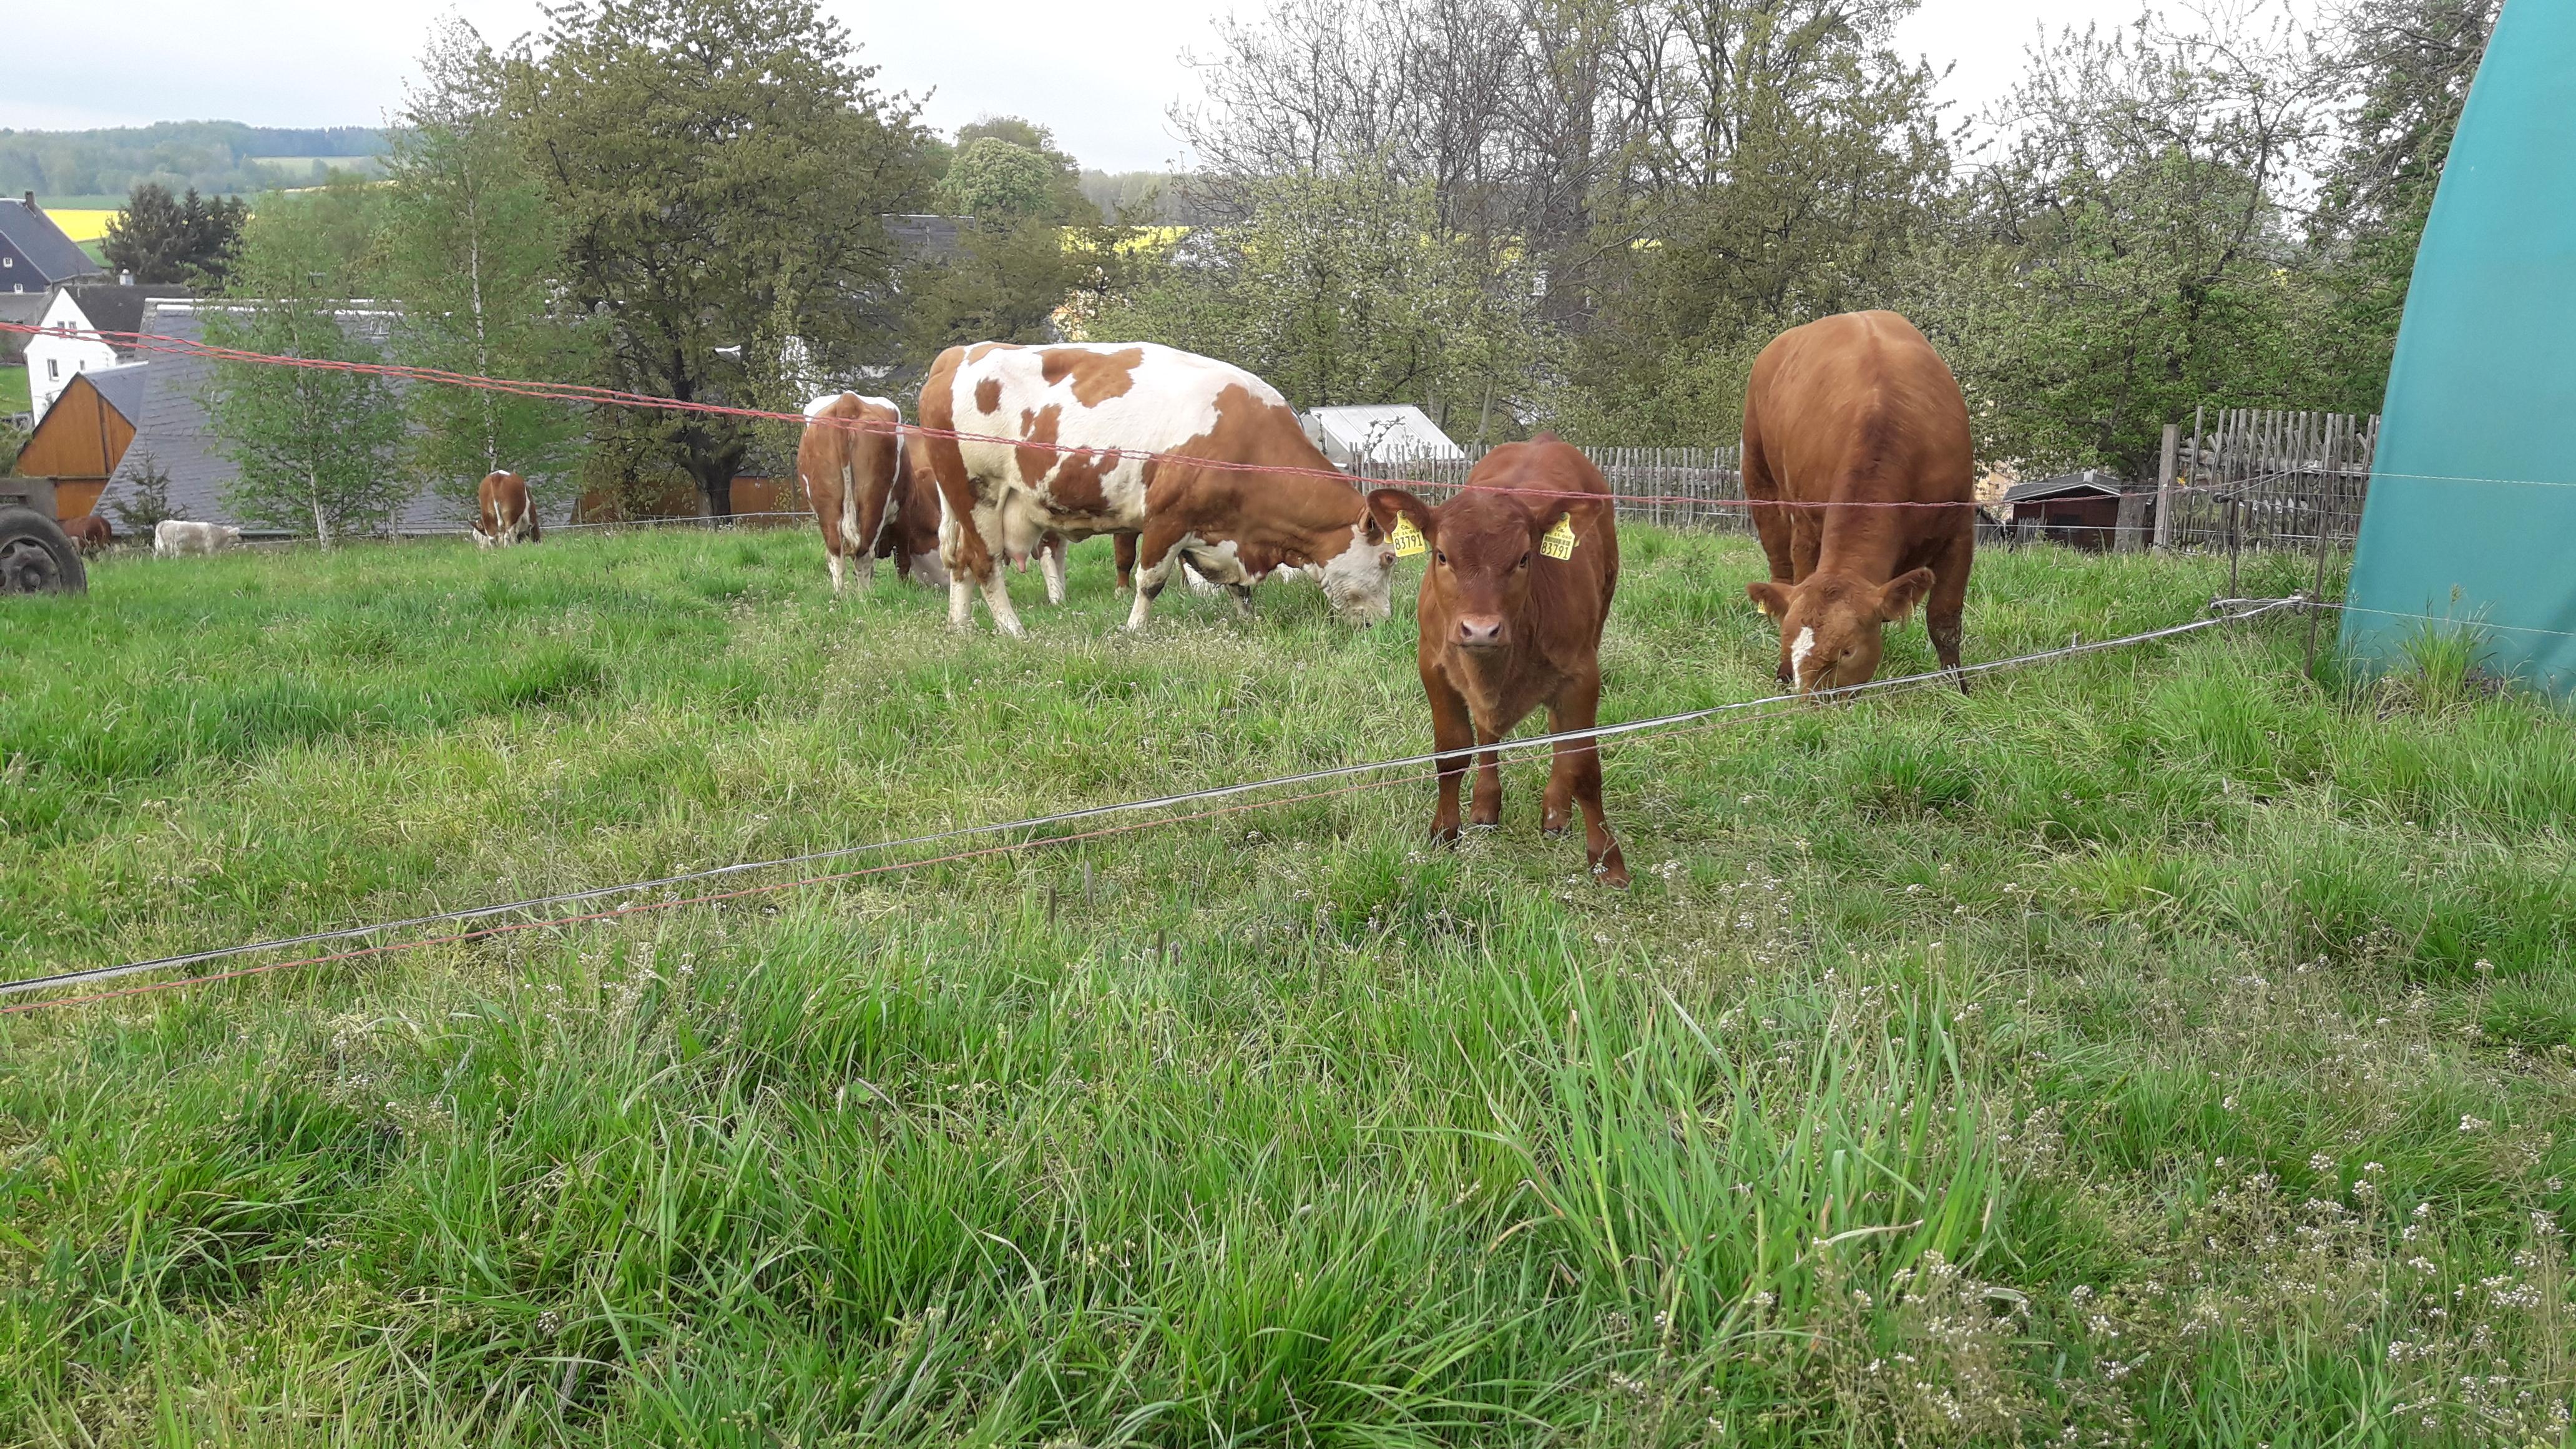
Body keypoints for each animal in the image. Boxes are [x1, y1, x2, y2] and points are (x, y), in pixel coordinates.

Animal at [154, 518, 242, 551]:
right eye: (236, 535)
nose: (241, 539)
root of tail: (164, 521)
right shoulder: (210, 547)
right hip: (171, 545)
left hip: (159, 546)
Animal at [906, 340, 1391, 634]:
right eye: (1388, 559)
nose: (1383, 622)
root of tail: (959, 354)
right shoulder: (1167, 519)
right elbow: (1150, 581)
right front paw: (1134, 629)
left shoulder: (1225, 534)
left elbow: (1239, 588)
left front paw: (1248, 622)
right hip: (977, 494)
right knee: (985, 564)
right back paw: (1012, 630)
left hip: (959, 504)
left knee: (959, 563)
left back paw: (960, 626)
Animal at [1360, 430, 1617, 882]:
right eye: (1441, 555)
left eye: (1524, 558)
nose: (1480, 629)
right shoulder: (1433, 665)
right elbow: (1451, 752)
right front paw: (1445, 831)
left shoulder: (1583, 675)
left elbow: (1583, 763)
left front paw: (1607, 860)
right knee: (1487, 733)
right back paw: (1485, 805)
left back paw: (1556, 812)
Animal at [1741, 309, 1978, 685]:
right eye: (1789, 643)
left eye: (1848, 651)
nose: (1812, 699)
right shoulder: (1808, 526)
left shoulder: (1959, 528)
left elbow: (1944, 620)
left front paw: (1956, 686)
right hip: (1759, 478)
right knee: (1780, 566)